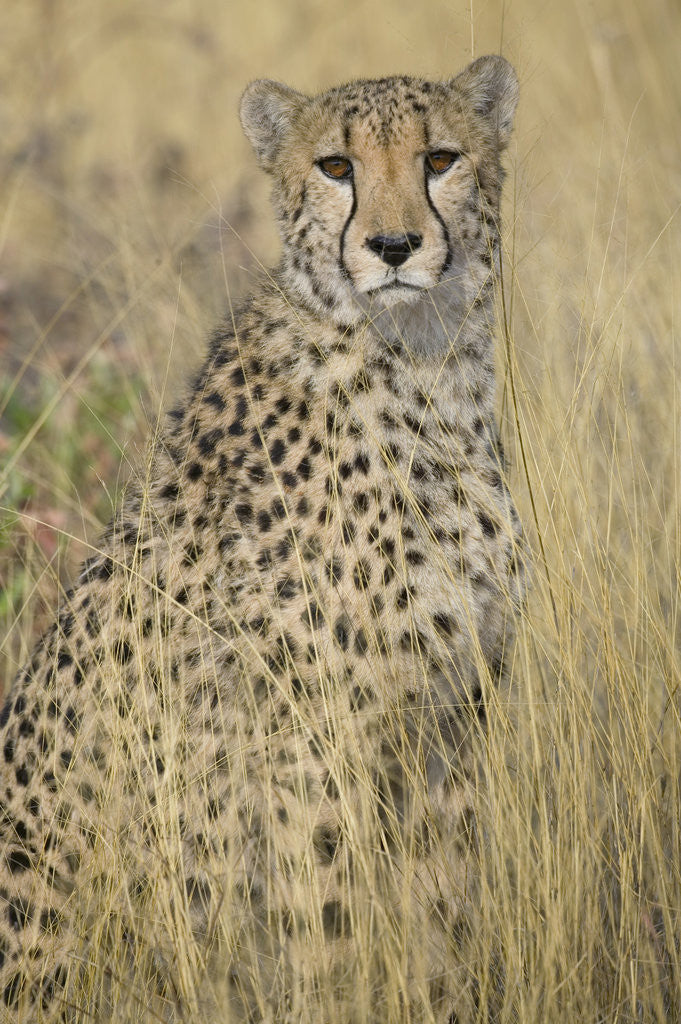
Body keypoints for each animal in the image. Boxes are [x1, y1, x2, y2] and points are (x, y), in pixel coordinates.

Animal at [0, 55, 523, 1023]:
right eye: (335, 167)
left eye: (439, 158)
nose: (393, 247)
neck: (424, 370)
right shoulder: (308, 750)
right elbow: (328, 934)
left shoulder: (448, 725)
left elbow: (442, 930)